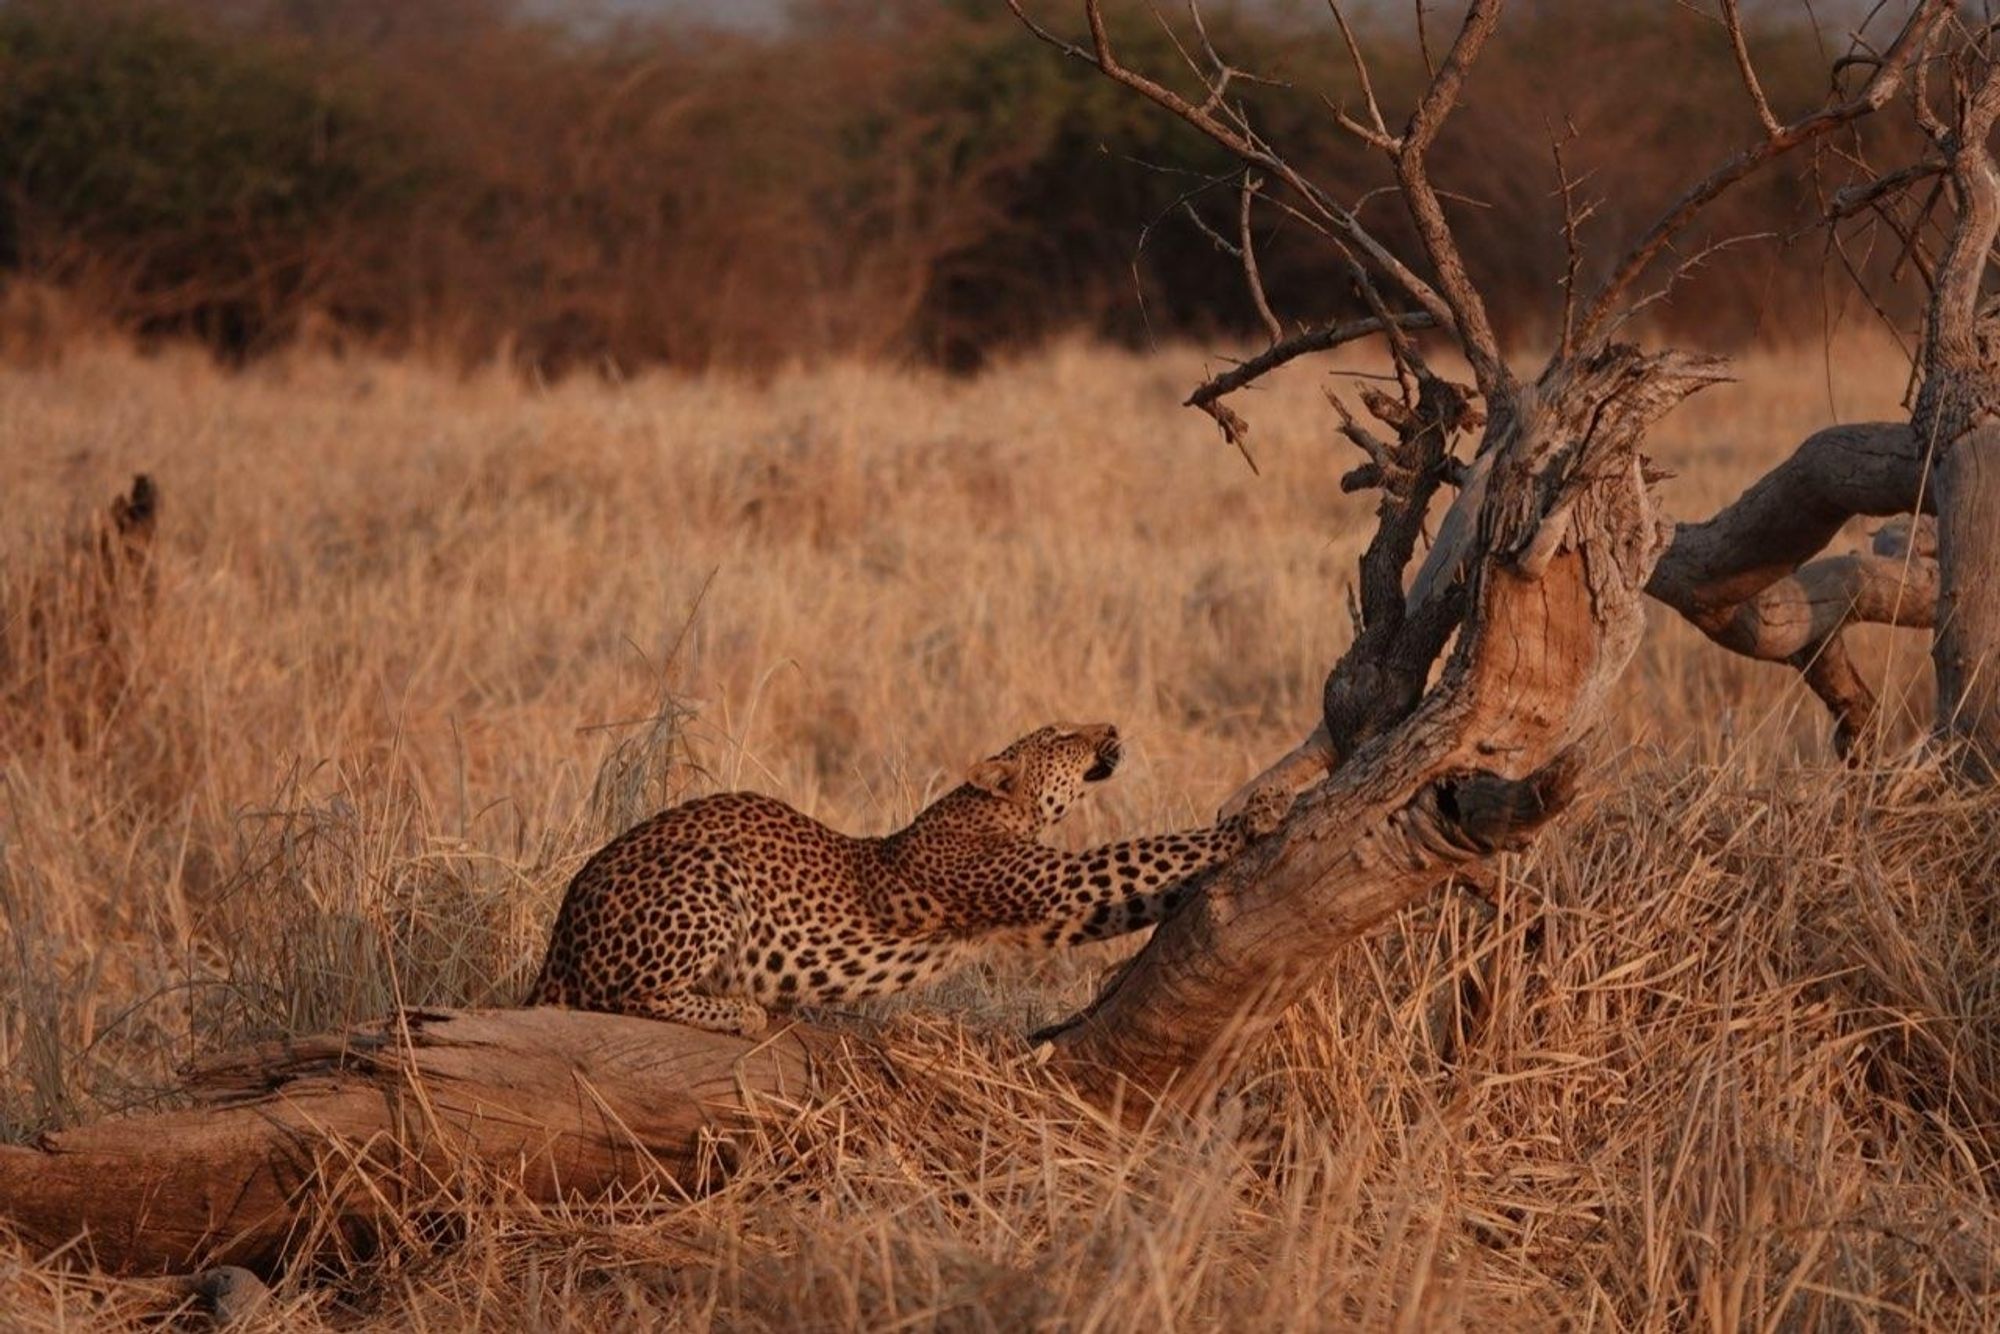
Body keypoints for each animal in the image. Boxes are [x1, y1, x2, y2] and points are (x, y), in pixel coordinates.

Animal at [524, 724, 1288, 1040]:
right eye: (1063, 737)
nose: (1113, 725)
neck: (996, 809)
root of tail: (558, 942)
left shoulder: (1050, 912)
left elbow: (1148, 883)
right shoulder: (1054, 882)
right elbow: (1144, 851)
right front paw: (1256, 815)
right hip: (707, 875)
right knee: (621, 996)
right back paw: (740, 1011)